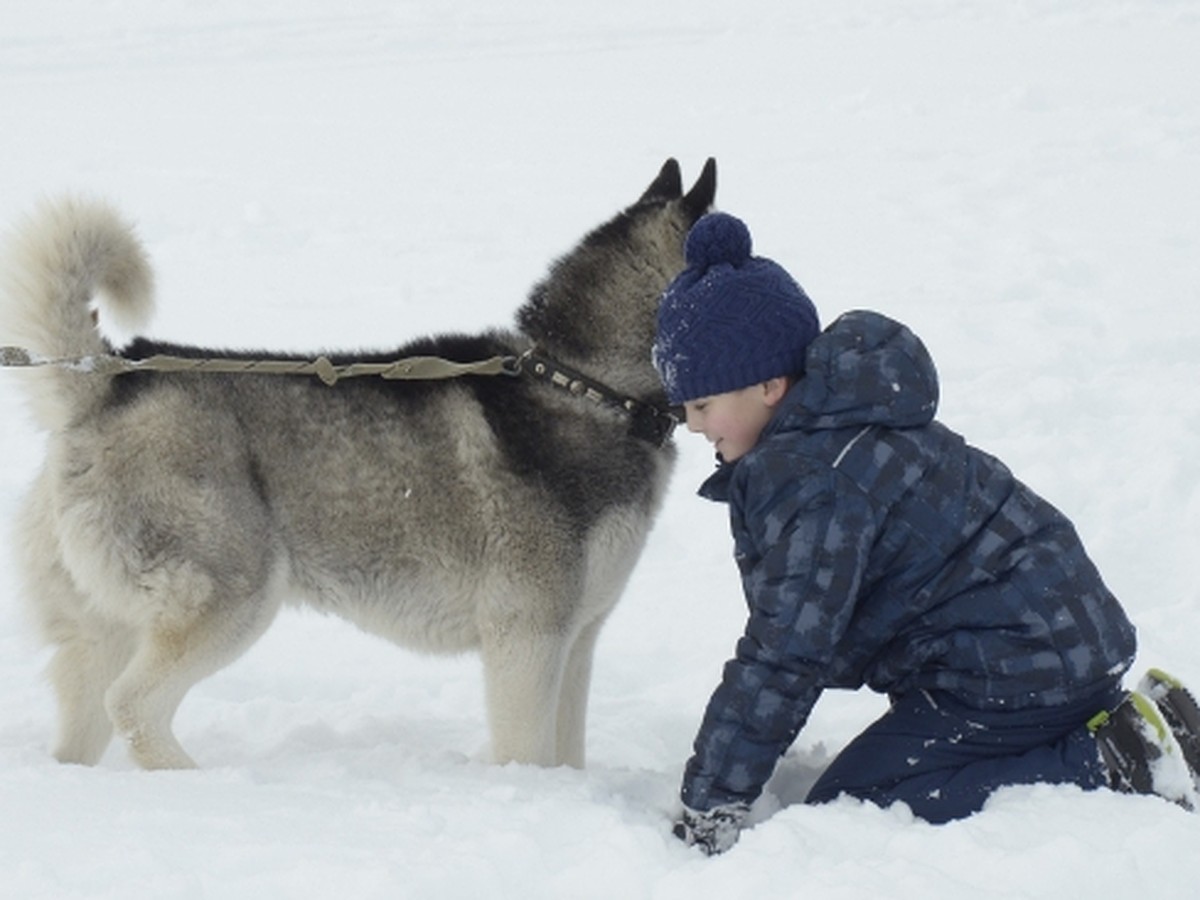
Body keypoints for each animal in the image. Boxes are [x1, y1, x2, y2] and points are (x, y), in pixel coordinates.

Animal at [0, 158, 710, 772]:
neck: (584, 386)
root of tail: (106, 382)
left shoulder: (578, 638)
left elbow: (568, 755)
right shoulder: (527, 637)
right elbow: (527, 754)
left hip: (109, 625)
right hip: (236, 594)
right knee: (133, 706)